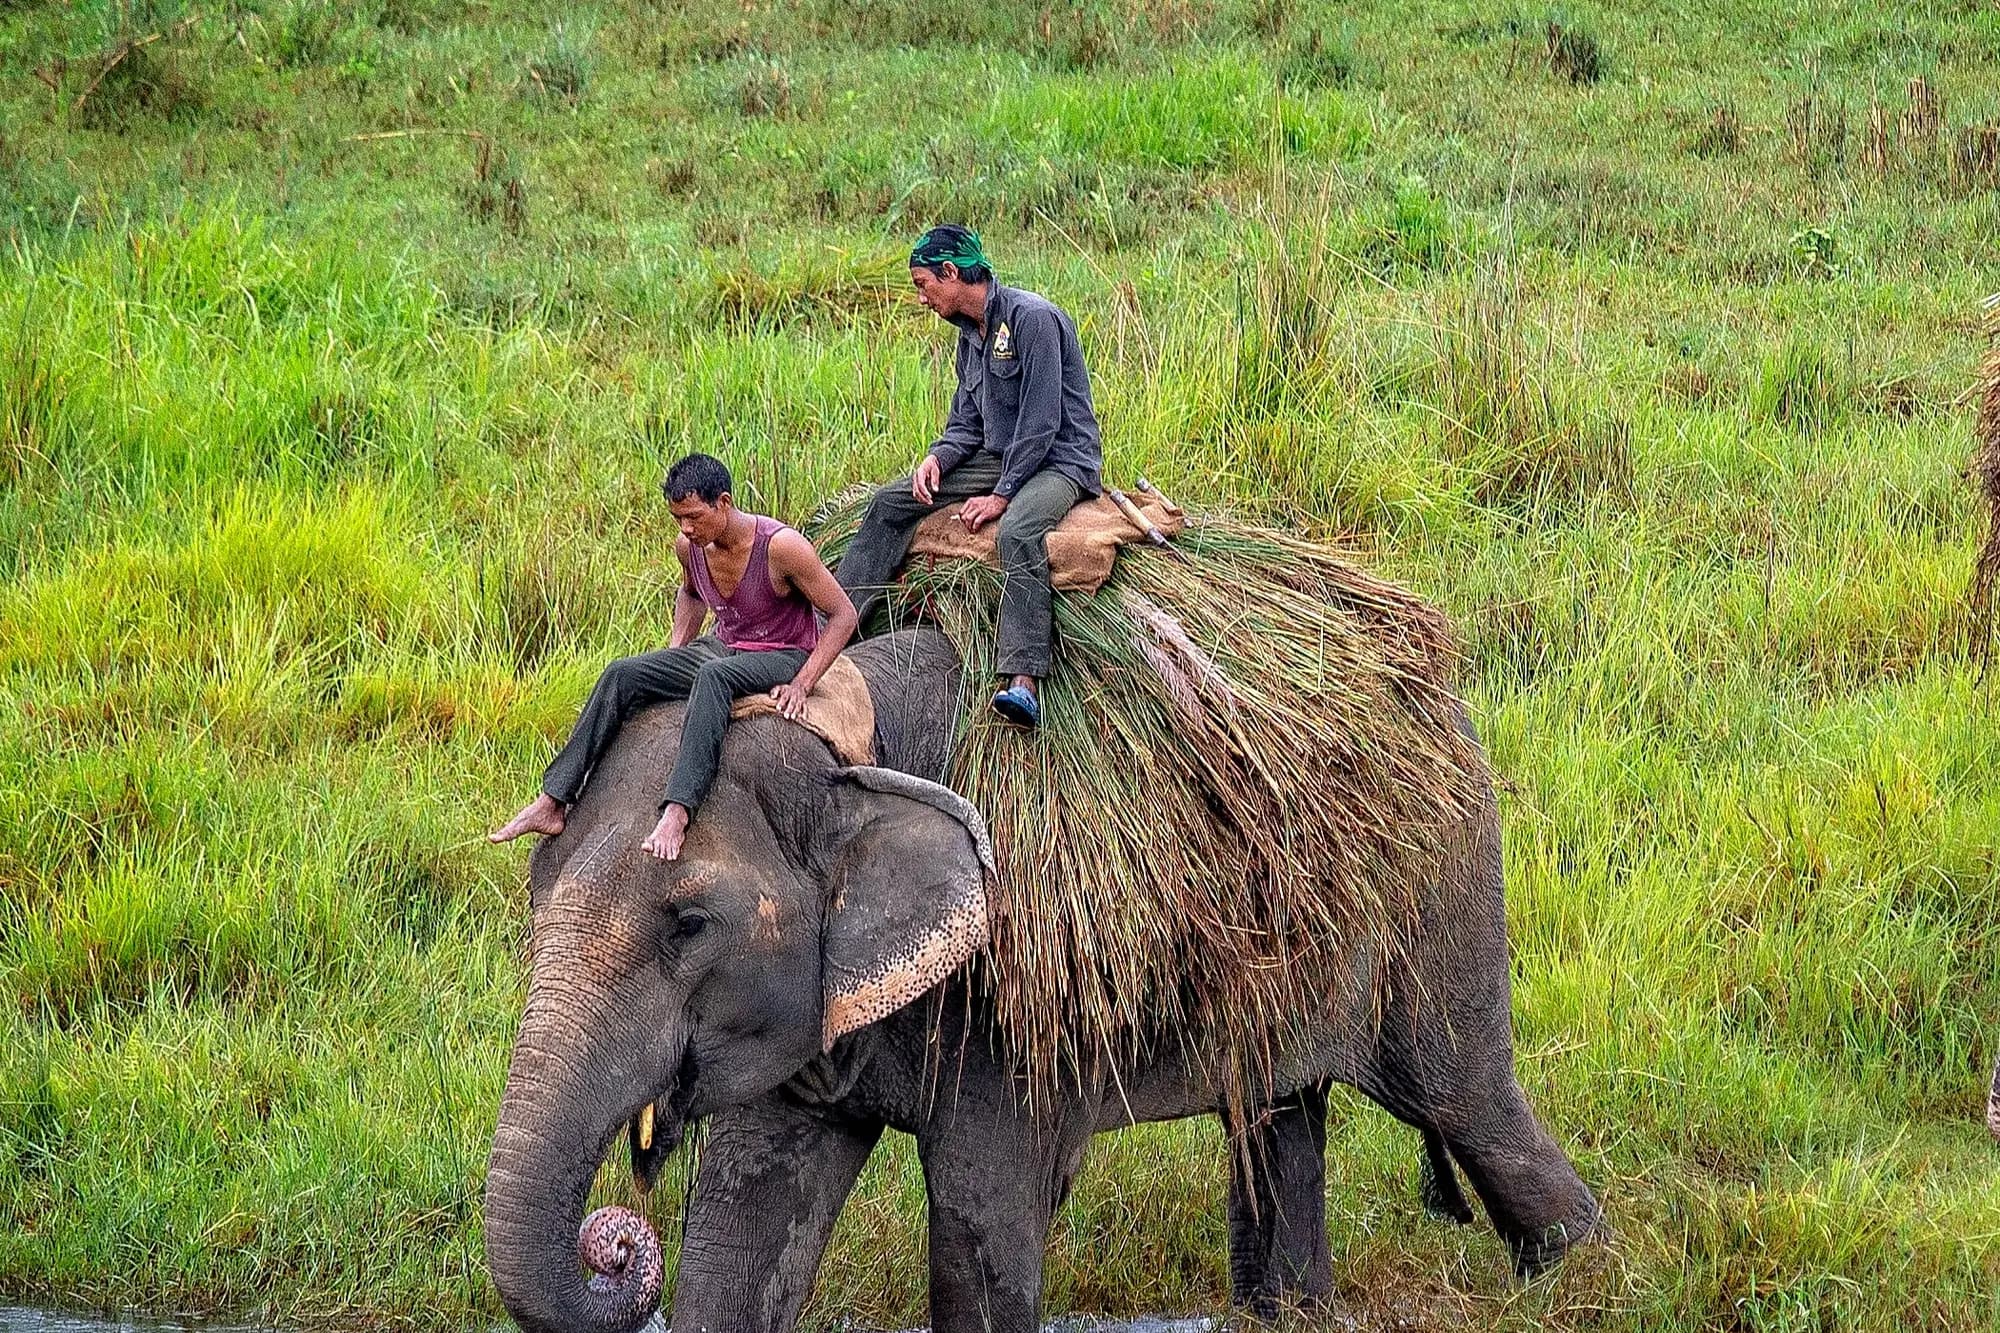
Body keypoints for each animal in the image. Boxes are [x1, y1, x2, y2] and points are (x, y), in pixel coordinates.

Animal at [483, 628, 1603, 1333]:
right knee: (1281, 1114)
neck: (847, 737)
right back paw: (1292, 1311)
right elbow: (745, 1221)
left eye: (688, 923)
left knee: (1463, 1100)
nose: (614, 1243)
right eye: (534, 892)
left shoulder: (1011, 981)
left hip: (1441, 880)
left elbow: (978, 1226)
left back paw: (1581, 1277)